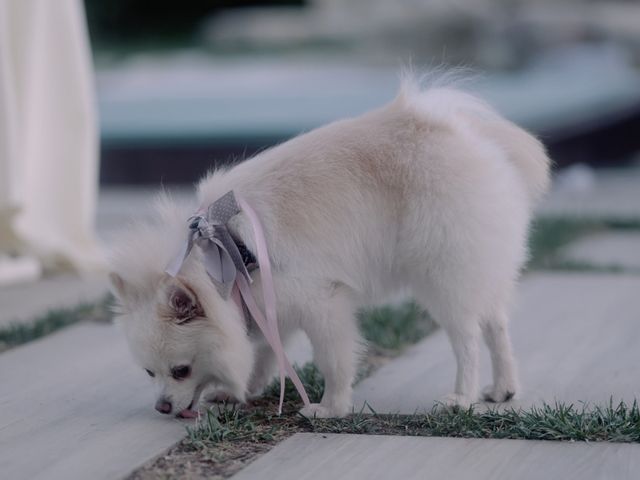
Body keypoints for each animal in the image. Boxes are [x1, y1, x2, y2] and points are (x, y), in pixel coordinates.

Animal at [110, 79, 552, 416]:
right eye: (149, 373)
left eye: (180, 370)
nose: (162, 407)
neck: (221, 254)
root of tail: (458, 131)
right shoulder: (269, 303)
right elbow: (266, 353)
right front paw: (245, 390)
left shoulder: (321, 301)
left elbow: (333, 360)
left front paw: (331, 407)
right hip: (478, 270)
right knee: (496, 324)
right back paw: (503, 388)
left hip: (441, 277)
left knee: (469, 338)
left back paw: (462, 397)